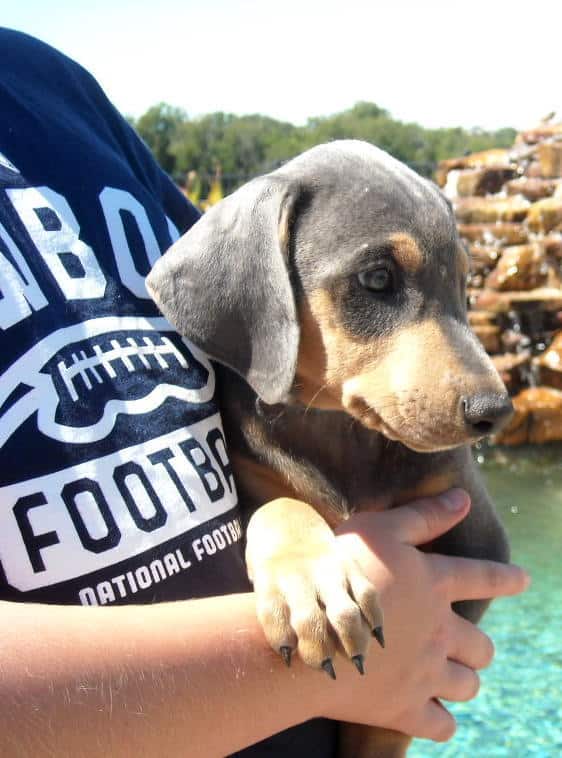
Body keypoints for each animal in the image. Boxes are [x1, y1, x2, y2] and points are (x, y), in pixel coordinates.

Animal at [145, 140, 512, 756]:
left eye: (465, 284)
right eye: (378, 277)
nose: (495, 411)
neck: (342, 432)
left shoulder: (480, 540)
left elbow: (381, 727)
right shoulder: (254, 476)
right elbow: (280, 506)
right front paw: (312, 585)